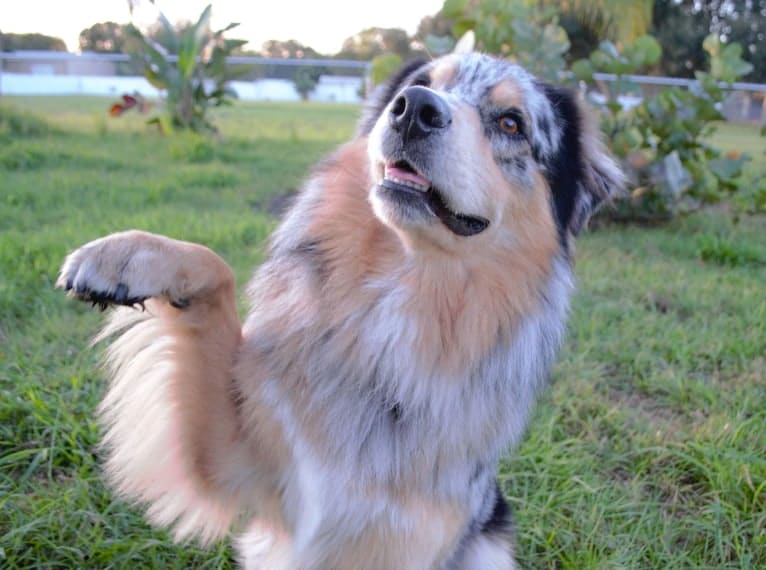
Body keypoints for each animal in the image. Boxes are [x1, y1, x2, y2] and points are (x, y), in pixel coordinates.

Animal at [58, 51, 624, 564]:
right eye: (423, 82)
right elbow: (214, 269)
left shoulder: (415, 535)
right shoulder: (242, 465)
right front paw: (123, 255)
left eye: (511, 122)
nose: (413, 108)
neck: (411, 280)